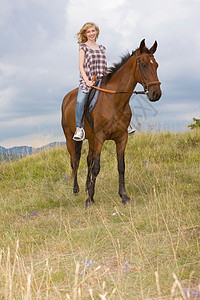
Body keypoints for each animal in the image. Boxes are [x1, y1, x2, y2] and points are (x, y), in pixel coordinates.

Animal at [61, 39, 162, 206]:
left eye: (156, 65)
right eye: (143, 65)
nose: (156, 93)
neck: (114, 101)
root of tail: (67, 97)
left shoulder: (121, 138)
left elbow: (121, 166)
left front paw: (124, 196)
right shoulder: (100, 137)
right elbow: (96, 167)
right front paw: (89, 200)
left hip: (91, 139)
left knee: (88, 160)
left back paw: (87, 188)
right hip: (71, 138)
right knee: (74, 161)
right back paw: (76, 190)